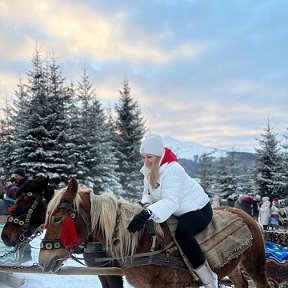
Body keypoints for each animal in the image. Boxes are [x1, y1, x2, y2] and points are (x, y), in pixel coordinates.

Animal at [38, 178, 270, 288]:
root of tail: (246, 215)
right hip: (233, 266)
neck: (143, 242)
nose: (43, 261)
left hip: (255, 264)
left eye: (57, 218)